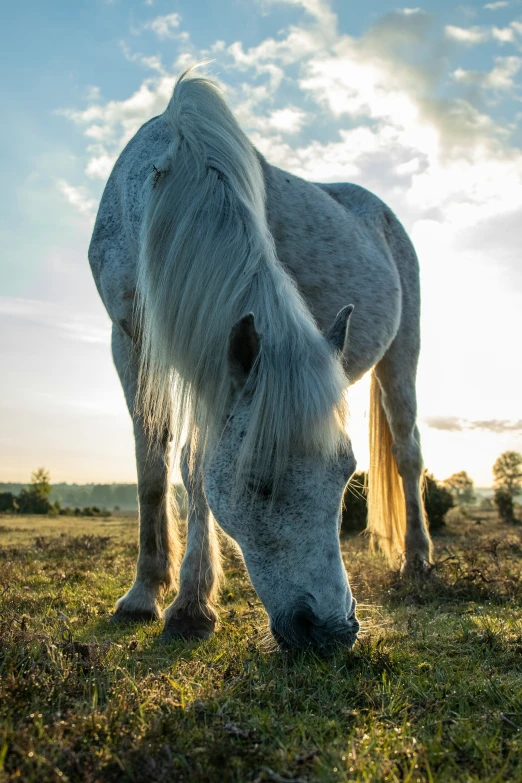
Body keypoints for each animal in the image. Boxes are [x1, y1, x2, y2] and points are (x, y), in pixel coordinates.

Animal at [88, 70, 430, 652]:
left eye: (346, 476)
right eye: (258, 482)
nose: (333, 631)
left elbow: (194, 466)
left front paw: (190, 604)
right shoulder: (129, 339)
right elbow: (154, 463)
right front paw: (144, 594)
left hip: (402, 354)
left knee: (409, 453)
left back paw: (419, 560)